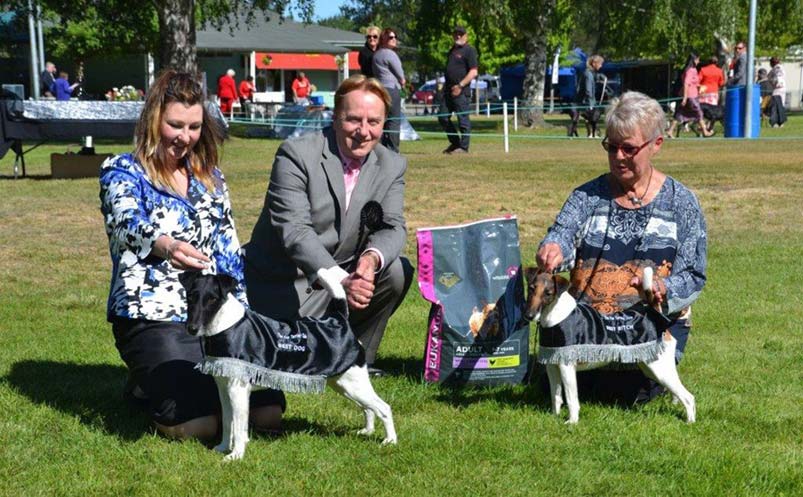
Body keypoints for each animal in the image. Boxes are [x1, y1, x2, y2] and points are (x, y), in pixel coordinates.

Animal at [524, 268, 696, 422]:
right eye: (531, 288)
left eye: (548, 293)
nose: (529, 316)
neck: (557, 317)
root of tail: (654, 314)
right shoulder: (552, 366)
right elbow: (556, 396)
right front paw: (555, 417)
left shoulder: (567, 367)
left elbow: (572, 399)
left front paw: (572, 422)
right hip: (652, 368)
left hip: (660, 369)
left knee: (688, 397)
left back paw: (689, 421)